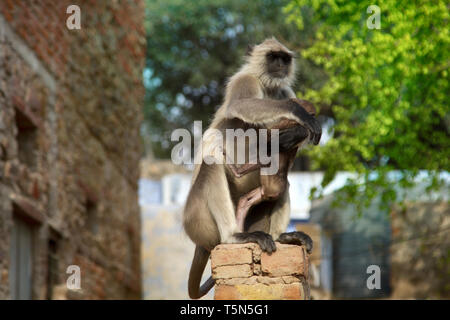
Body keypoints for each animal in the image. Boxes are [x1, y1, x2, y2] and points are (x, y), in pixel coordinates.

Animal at [184, 38, 324, 300]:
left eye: (284, 59)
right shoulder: (245, 80)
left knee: (283, 182)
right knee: (216, 157)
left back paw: (282, 236)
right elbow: (241, 105)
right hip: (197, 218)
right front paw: (298, 114)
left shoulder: (284, 91)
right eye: (272, 57)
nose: (280, 65)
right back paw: (233, 236)